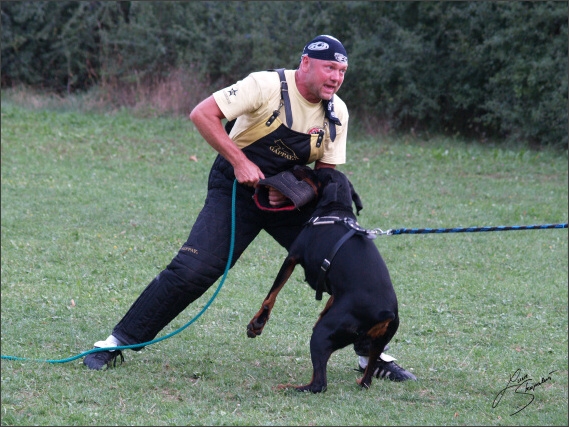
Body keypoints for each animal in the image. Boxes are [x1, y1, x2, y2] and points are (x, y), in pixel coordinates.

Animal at [246, 166, 398, 392]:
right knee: (367, 379)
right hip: (374, 344)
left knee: (319, 384)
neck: (335, 211)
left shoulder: (292, 257)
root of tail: (387, 313)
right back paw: (361, 380)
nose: (298, 166)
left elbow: (271, 295)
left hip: (321, 334)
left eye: (316, 172)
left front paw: (257, 323)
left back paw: (288, 387)